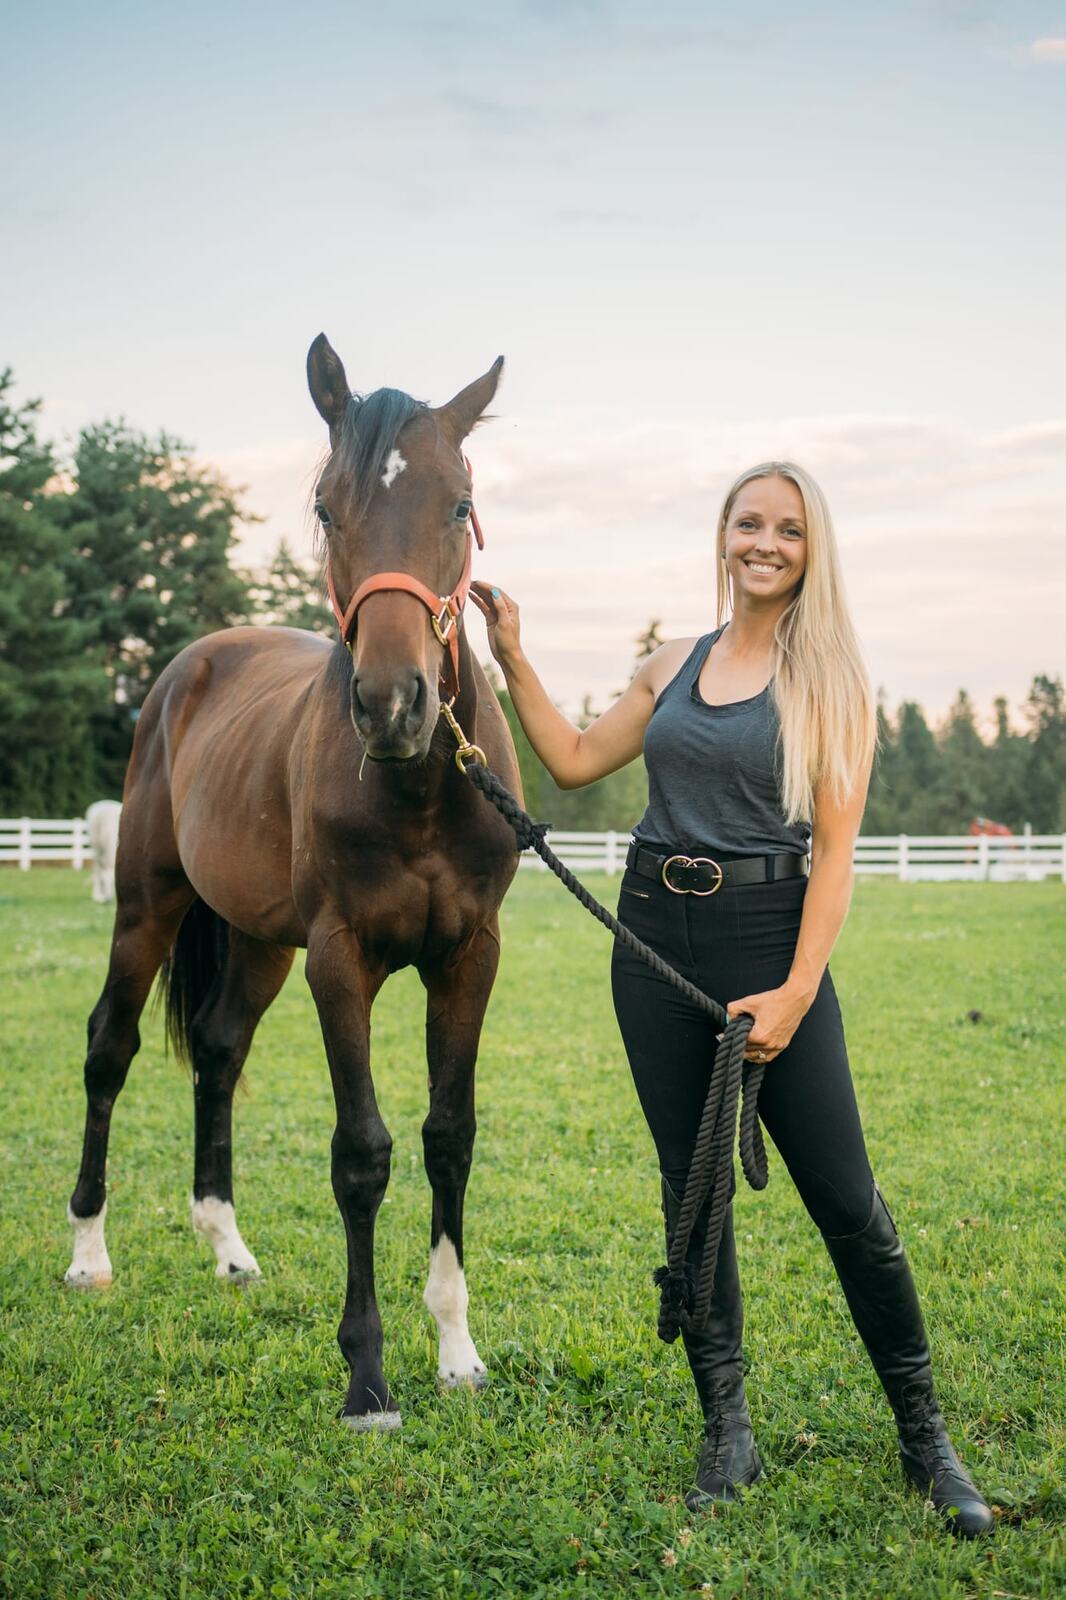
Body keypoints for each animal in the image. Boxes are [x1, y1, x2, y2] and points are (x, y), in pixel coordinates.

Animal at [65, 335, 523, 1430]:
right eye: (326, 506)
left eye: (459, 504)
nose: (393, 703)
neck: (420, 787)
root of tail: (191, 665)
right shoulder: (339, 961)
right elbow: (361, 1154)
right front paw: (368, 1379)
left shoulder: (469, 957)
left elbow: (449, 1136)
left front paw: (457, 1351)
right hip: (148, 909)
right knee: (110, 1049)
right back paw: (89, 1254)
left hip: (260, 941)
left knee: (219, 1049)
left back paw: (227, 1245)